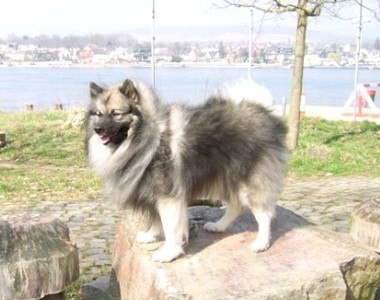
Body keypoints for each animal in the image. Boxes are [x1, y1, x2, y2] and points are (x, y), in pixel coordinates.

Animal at [85, 78, 288, 262]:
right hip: (224, 177)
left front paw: (169, 252)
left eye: (116, 113)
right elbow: (157, 220)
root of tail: (263, 112)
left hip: (250, 182)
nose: (98, 129)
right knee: (235, 207)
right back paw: (218, 226)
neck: (145, 139)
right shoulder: (152, 193)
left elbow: (170, 227)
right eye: (98, 114)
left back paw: (261, 243)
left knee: (264, 214)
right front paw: (152, 236)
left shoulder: (168, 196)